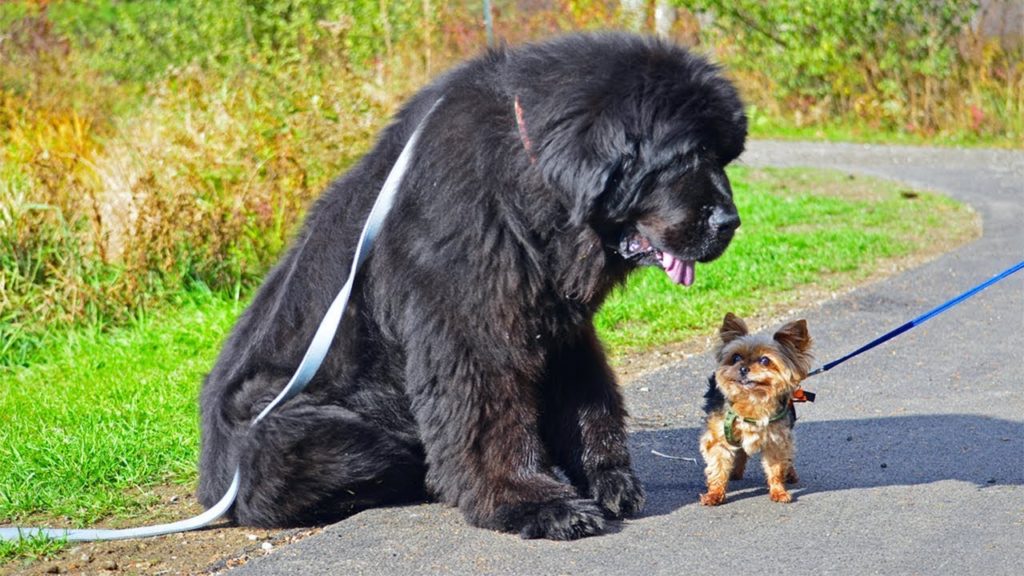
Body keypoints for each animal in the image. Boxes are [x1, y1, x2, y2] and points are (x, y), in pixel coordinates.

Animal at [197, 32, 745, 537]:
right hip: (289, 430)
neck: (529, 182)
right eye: (687, 156)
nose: (730, 222)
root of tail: (213, 483)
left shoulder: (557, 323)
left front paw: (609, 481)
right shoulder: (472, 327)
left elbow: (588, 398)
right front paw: (536, 503)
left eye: (723, 157)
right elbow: (487, 419)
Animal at [700, 311, 811, 504]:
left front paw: (778, 491)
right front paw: (715, 494)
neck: (752, 399)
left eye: (765, 360)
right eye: (736, 357)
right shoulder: (718, 437)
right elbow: (718, 466)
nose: (744, 368)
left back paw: (790, 473)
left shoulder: (776, 440)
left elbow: (776, 468)